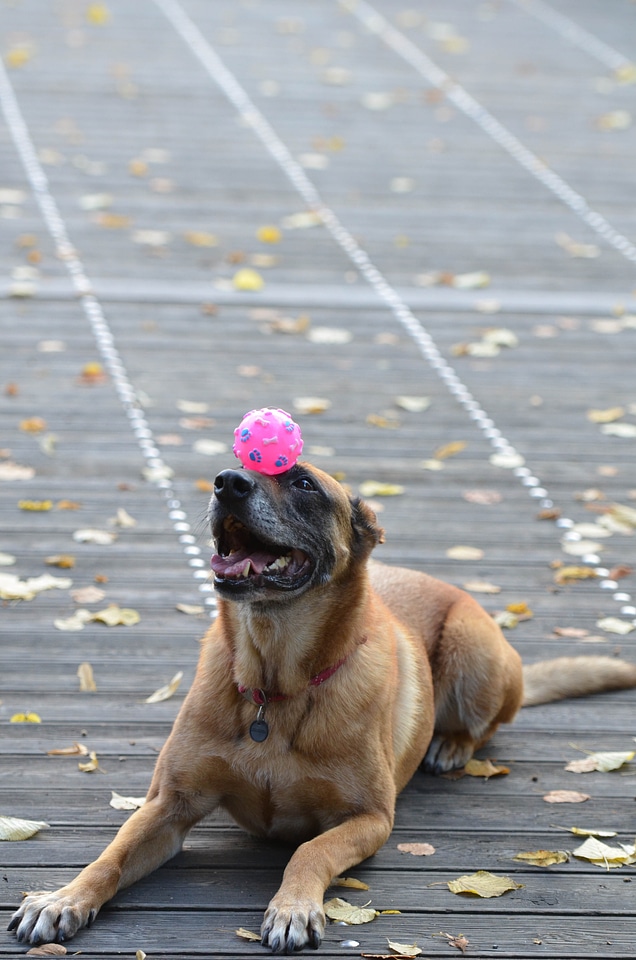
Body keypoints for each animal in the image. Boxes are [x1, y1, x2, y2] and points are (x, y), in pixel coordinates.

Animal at [8, 464, 636, 952]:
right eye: (237, 464)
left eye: (304, 483)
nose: (227, 483)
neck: (273, 687)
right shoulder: (168, 805)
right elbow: (109, 857)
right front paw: (61, 898)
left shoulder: (369, 818)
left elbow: (309, 851)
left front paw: (292, 907)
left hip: (472, 648)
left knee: (484, 725)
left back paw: (451, 744)